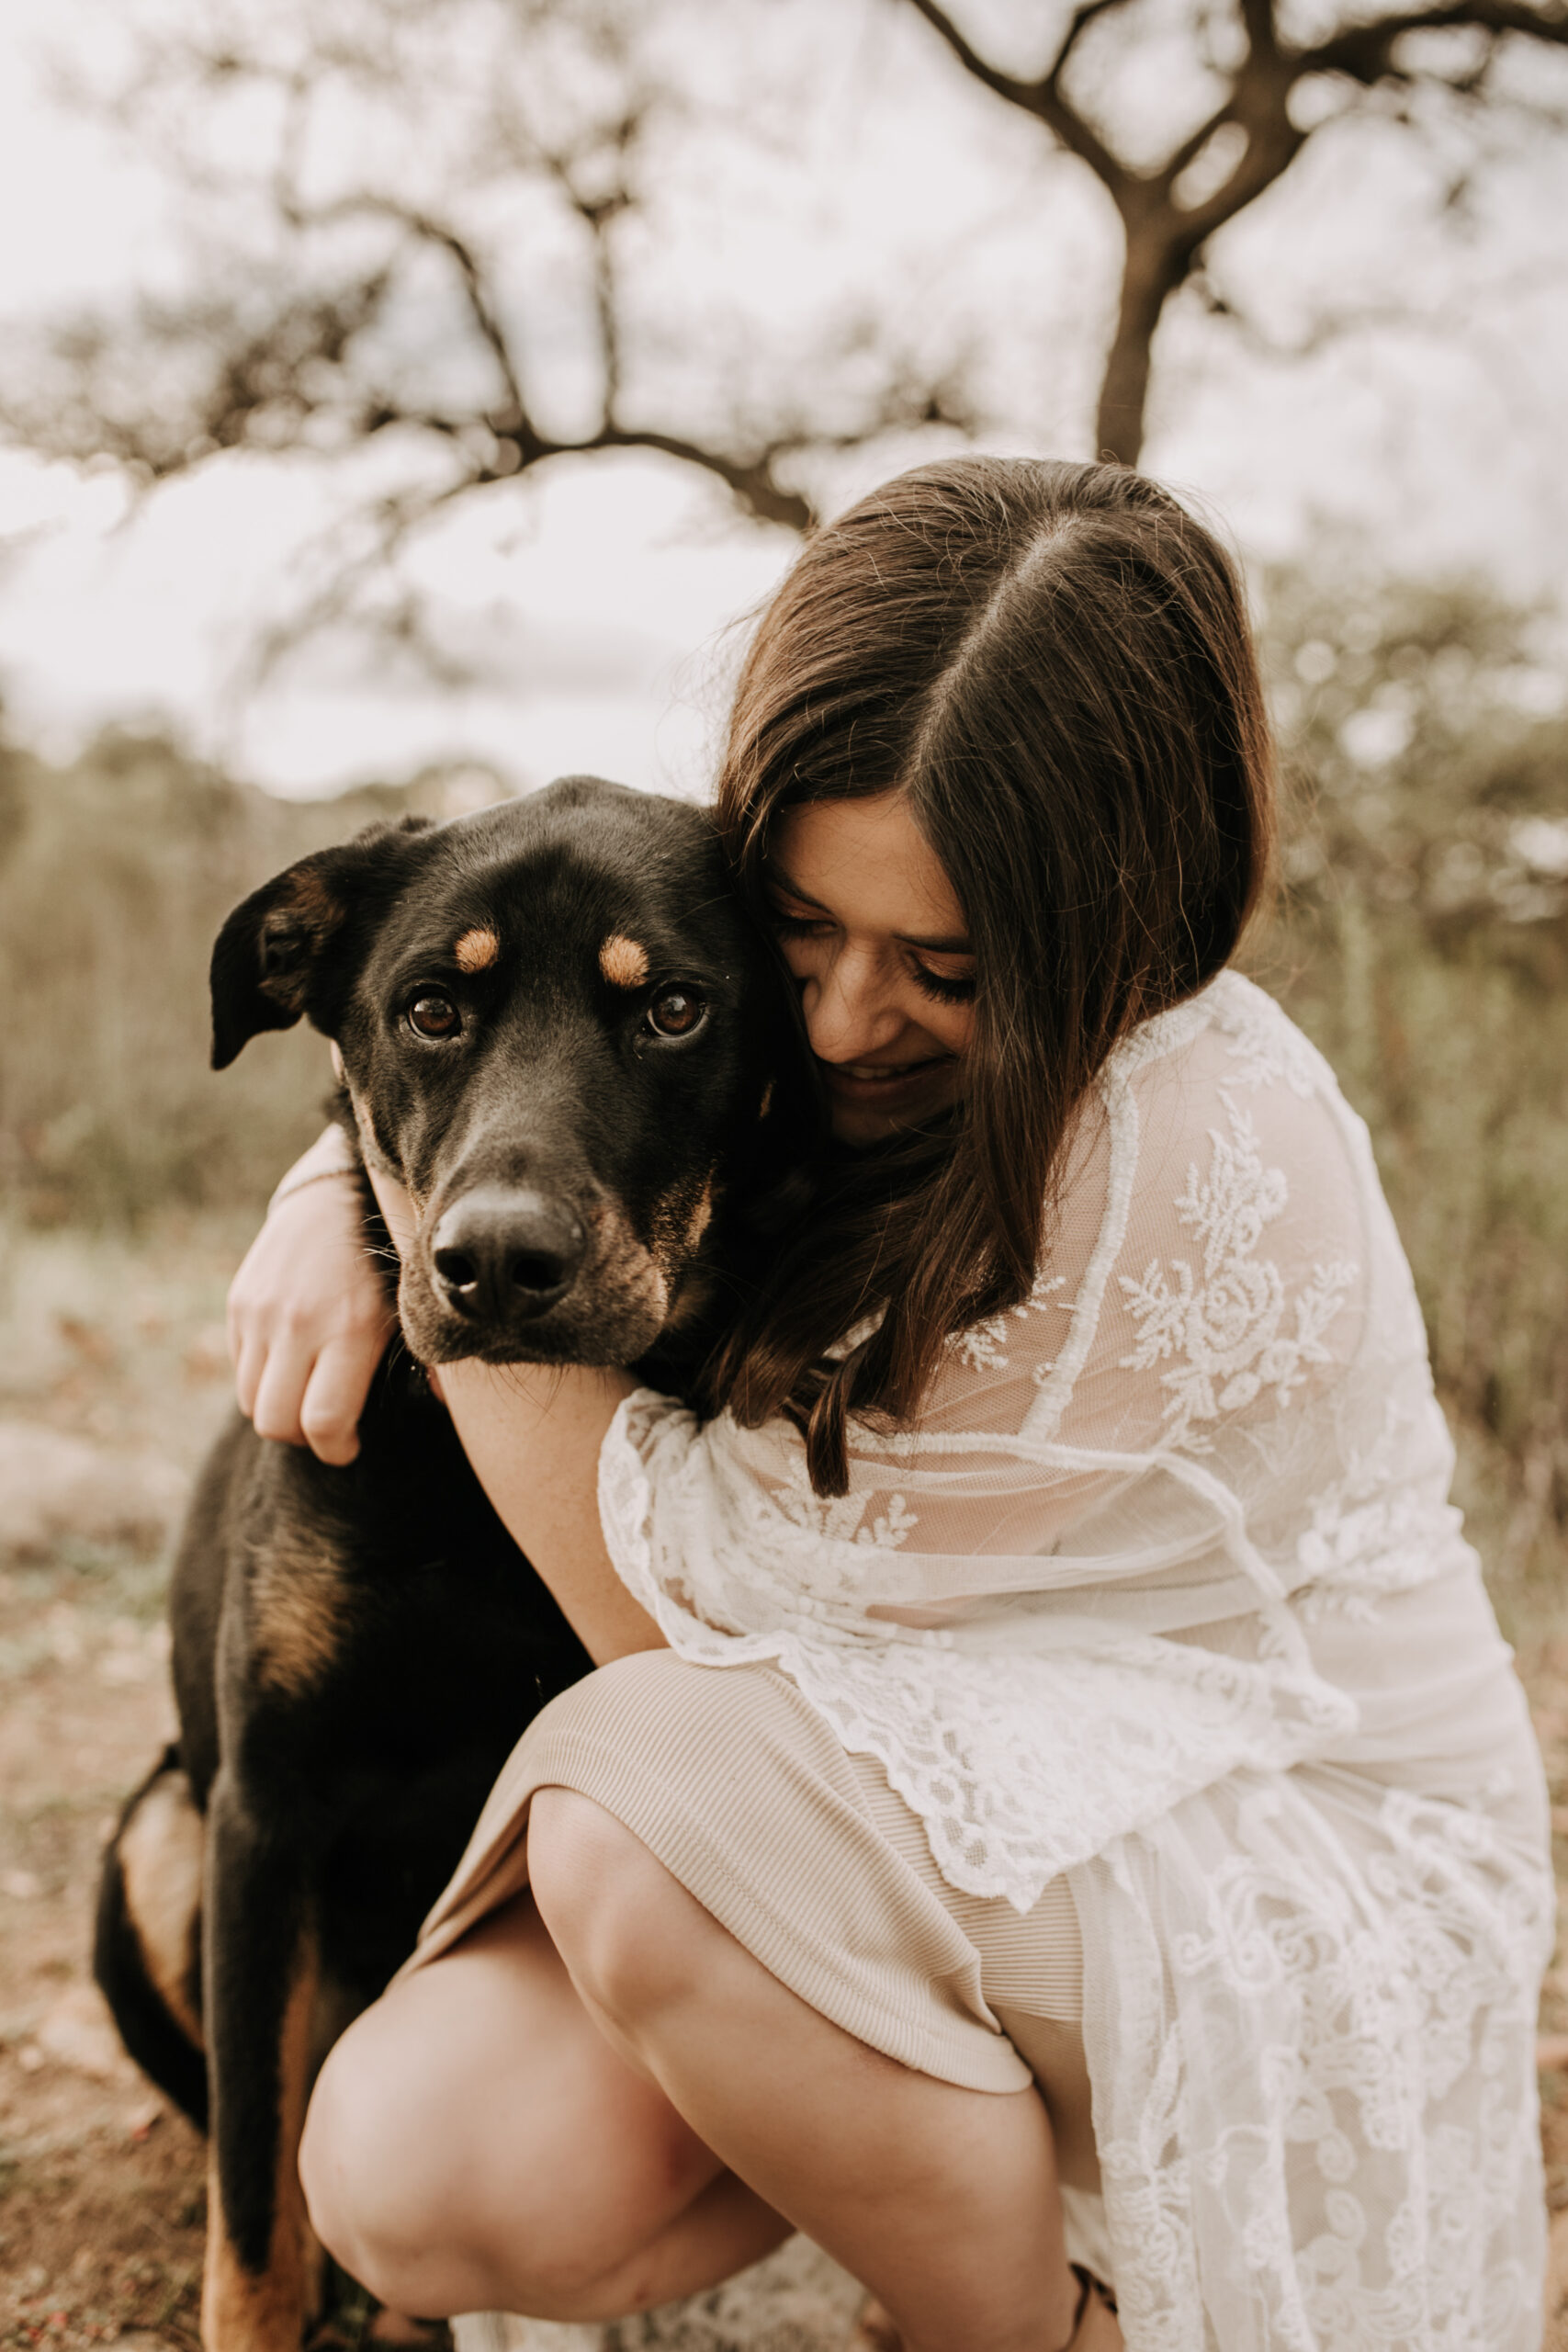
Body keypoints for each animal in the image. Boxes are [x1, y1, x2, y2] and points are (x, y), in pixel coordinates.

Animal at [95, 780, 808, 2342]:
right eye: (431, 1009)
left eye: (672, 1009)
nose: (493, 1266)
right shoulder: (261, 1810)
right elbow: (253, 2213)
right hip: (157, 1835)